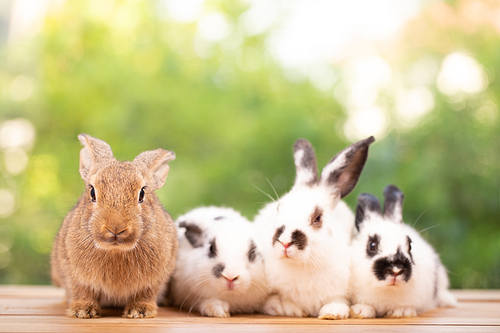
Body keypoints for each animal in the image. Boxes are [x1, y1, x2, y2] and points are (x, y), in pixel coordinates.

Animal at [50, 134, 179, 318]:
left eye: (142, 194)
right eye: (92, 192)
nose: (116, 228)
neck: (115, 250)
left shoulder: (154, 280)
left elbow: (146, 294)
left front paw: (140, 311)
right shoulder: (74, 275)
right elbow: (82, 291)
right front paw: (82, 311)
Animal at [254, 136, 376, 318]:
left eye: (317, 218)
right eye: (278, 208)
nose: (285, 242)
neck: (303, 266)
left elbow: (338, 300)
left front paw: (334, 312)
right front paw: (291, 309)